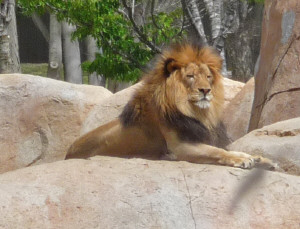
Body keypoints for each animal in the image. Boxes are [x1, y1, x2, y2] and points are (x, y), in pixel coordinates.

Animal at [65, 42, 274, 170]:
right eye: (190, 76)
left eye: (208, 76)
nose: (206, 90)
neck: (194, 112)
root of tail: (67, 153)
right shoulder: (179, 147)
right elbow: (217, 151)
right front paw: (242, 159)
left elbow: (227, 149)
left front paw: (260, 159)